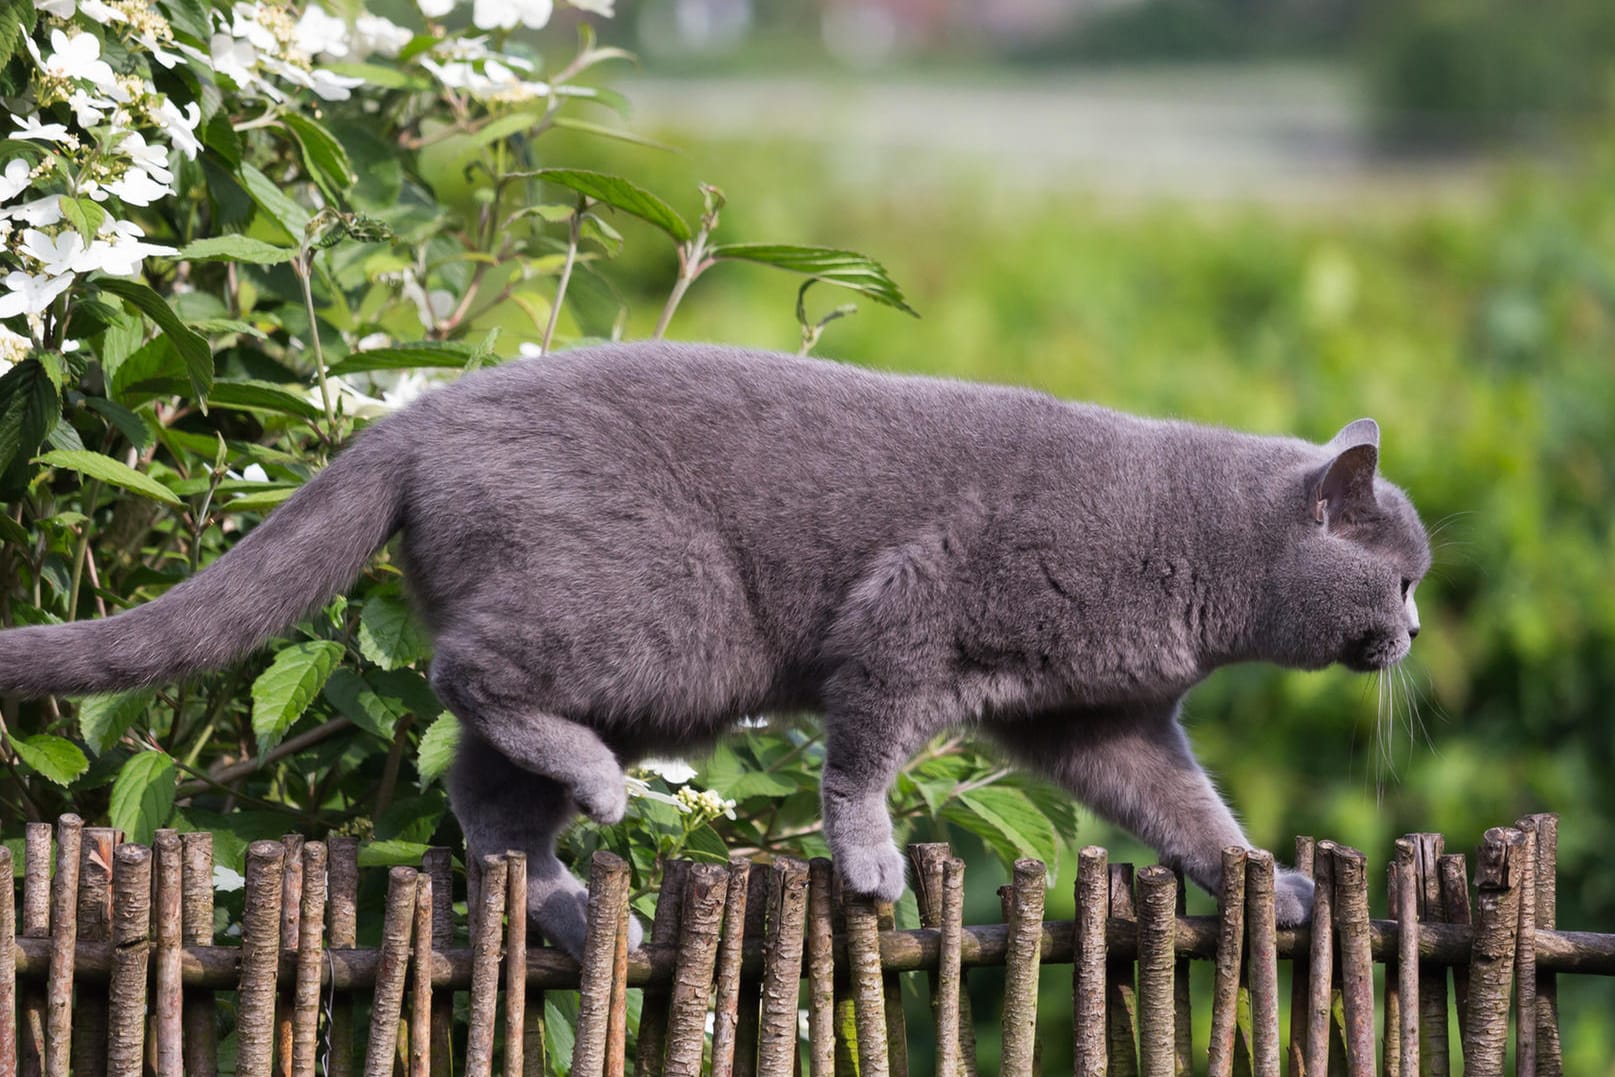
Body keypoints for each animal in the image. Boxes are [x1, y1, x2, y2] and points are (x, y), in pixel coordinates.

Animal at [0, 345, 1434, 962]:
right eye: (1406, 573)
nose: (1418, 627)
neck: (1192, 556)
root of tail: (414, 419)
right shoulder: (905, 612)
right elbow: (861, 757)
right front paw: (868, 865)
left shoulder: (1100, 718)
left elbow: (1183, 807)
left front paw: (1267, 883)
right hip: (664, 620)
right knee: (470, 678)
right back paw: (594, 795)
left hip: (654, 667)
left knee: (482, 792)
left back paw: (572, 903)